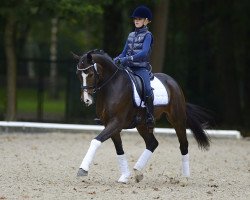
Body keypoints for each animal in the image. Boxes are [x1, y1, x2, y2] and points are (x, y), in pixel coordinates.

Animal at [73, 49, 212, 184]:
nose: (86, 100)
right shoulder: (110, 124)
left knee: (183, 144)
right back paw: (138, 172)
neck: (112, 85)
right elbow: (119, 148)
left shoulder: (116, 123)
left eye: (90, 74)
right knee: (152, 143)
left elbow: (95, 141)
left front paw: (83, 169)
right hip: (143, 124)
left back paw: (185, 177)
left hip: (177, 120)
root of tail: (173, 82)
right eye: (78, 74)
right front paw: (125, 176)